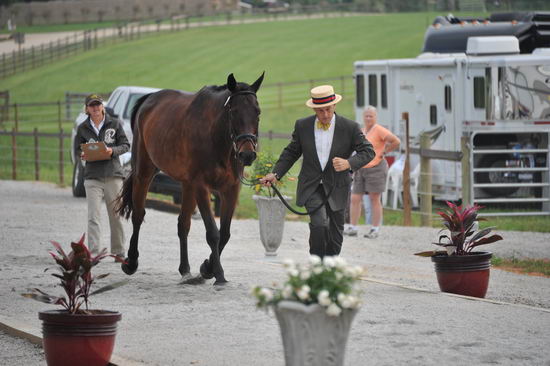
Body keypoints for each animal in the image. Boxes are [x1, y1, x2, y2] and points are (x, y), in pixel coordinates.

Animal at [115, 73, 264, 284]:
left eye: (257, 112)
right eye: (233, 112)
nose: (247, 155)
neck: (216, 139)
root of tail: (149, 98)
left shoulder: (231, 189)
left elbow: (225, 233)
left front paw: (207, 268)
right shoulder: (201, 186)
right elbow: (213, 233)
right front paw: (218, 274)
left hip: (186, 185)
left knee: (183, 223)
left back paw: (185, 269)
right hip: (144, 172)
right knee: (138, 214)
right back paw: (131, 262)